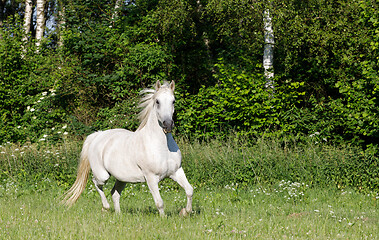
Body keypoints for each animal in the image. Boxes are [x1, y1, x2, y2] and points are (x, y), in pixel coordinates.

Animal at [63, 81, 193, 217]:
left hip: (122, 178)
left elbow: (190, 190)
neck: (163, 148)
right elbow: (159, 202)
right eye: (157, 101)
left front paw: (184, 212)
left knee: (114, 193)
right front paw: (163, 218)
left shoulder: (176, 171)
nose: (168, 125)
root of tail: (97, 135)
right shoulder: (151, 177)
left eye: (173, 101)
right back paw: (106, 208)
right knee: (96, 183)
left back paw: (118, 215)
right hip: (102, 175)